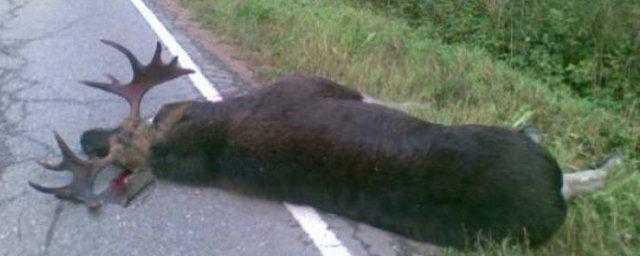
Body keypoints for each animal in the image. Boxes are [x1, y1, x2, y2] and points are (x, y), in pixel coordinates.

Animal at [31, 41, 620, 249]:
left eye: (118, 130)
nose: (87, 138)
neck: (210, 136)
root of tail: (545, 202)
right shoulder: (328, 85)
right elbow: (388, 96)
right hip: (522, 159)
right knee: (574, 174)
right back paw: (601, 157)